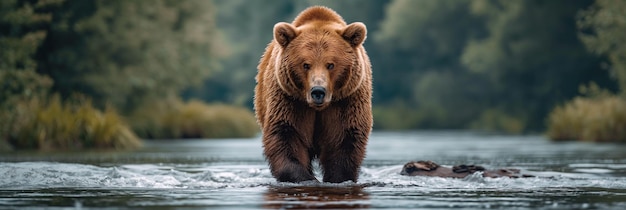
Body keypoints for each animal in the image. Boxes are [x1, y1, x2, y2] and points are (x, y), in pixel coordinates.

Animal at [254, 6, 370, 184]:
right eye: (306, 64)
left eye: (330, 64)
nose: (318, 91)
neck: (318, 108)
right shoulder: (289, 100)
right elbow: (286, 135)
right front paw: (306, 178)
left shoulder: (346, 100)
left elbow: (344, 138)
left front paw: (337, 177)